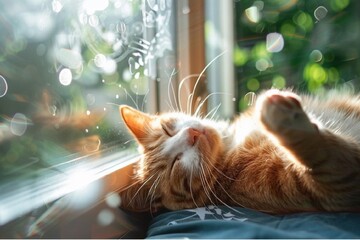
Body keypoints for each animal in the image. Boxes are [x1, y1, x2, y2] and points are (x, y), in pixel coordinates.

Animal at [119, 89, 360, 214]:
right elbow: (321, 157)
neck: (231, 145)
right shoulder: (333, 189)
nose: (192, 134)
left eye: (167, 129)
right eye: (175, 164)